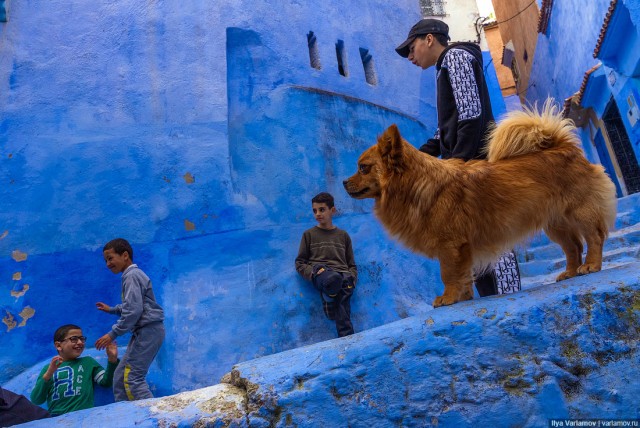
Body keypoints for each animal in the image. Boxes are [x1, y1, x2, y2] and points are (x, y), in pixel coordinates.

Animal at [342, 104, 616, 308]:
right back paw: (570, 271)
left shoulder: (450, 246)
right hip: (555, 224)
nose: (344, 182)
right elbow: (463, 276)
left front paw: (448, 298)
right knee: (573, 247)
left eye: (363, 168)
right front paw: (462, 297)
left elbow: (449, 274)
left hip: (580, 213)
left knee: (594, 237)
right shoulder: (461, 249)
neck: (416, 185)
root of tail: (564, 147)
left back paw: (591, 265)